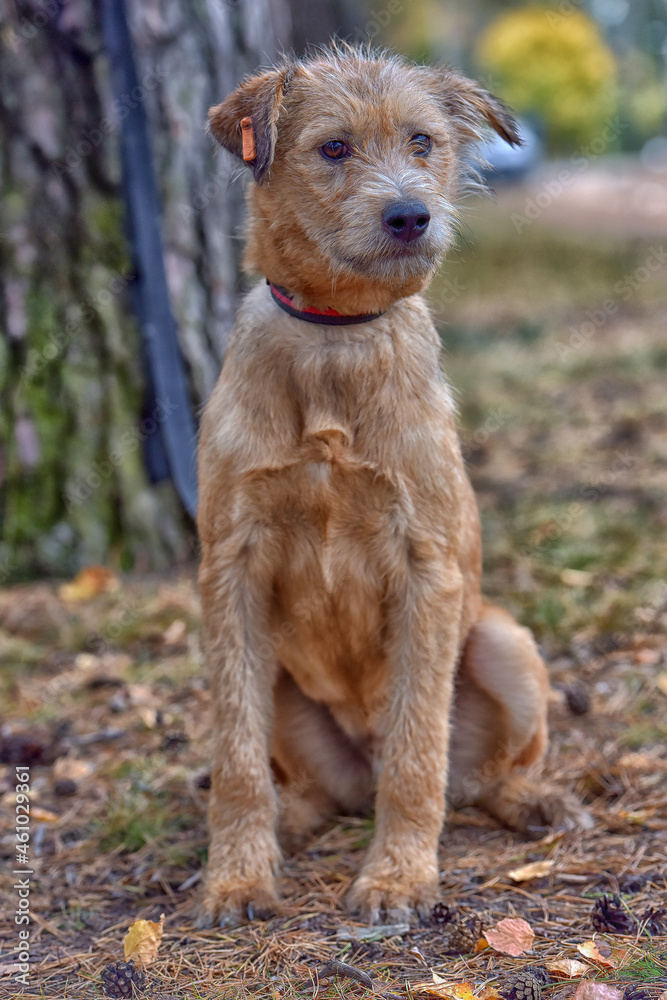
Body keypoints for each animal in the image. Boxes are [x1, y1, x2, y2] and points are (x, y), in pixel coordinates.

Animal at [193, 41, 584, 928]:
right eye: (333, 147)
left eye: (422, 142)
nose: (410, 215)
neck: (335, 338)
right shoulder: (230, 569)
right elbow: (234, 758)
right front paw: (236, 876)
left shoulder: (426, 567)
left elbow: (416, 751)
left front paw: (398, 877)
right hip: (280, 680)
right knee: (313, 785)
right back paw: (293, 820)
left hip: (503, 642)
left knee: (472, 778)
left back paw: (532, 802)